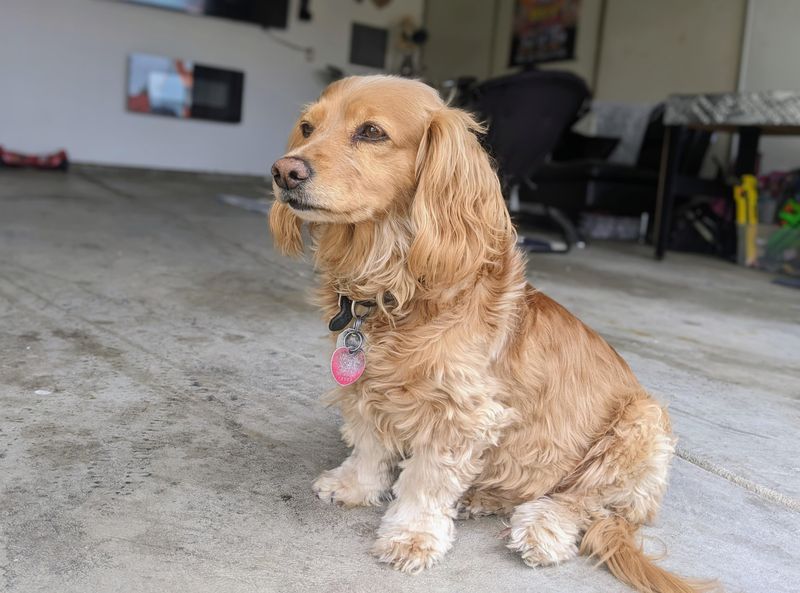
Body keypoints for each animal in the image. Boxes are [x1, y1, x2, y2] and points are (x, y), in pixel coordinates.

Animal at [268, 75, 712, 592]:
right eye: (307, 127)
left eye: (372, 132)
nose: (284, 171)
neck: (394, 288)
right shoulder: (366, 387)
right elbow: (370, 445)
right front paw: (353, 485)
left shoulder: (461, 415)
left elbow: (426, 482)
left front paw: (412, 536)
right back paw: (481, 498)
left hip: (641, 426)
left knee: (580, 502)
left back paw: (540, 530)